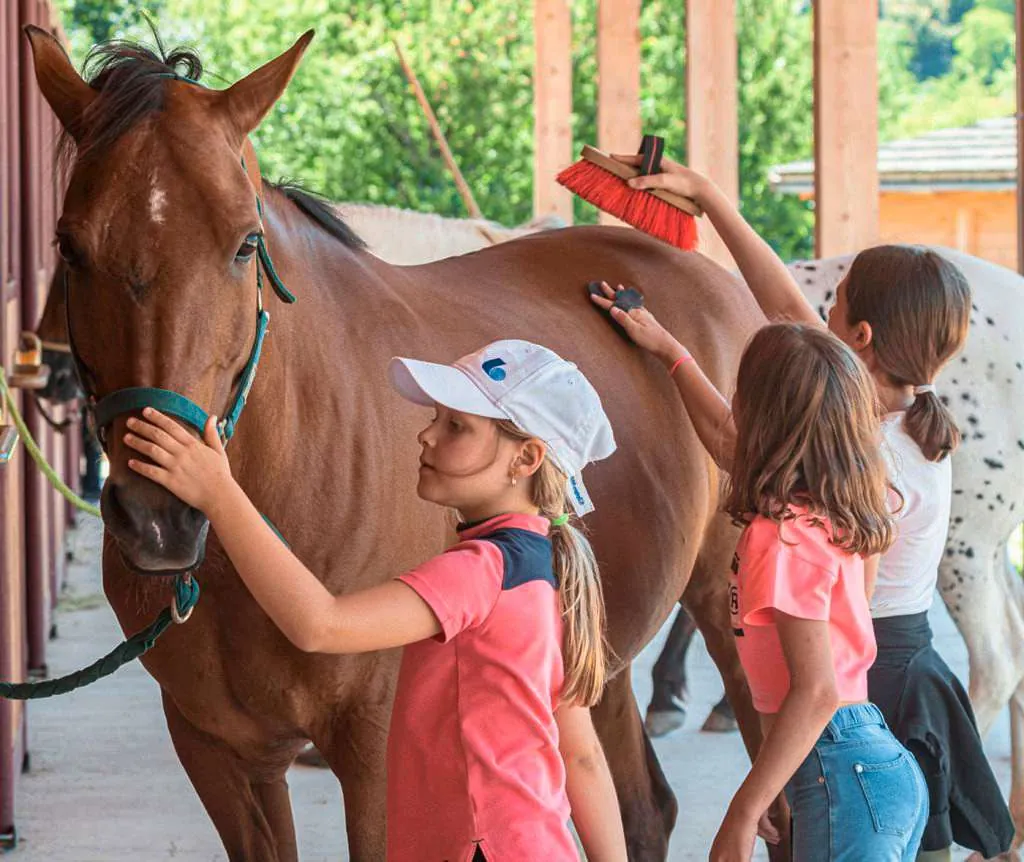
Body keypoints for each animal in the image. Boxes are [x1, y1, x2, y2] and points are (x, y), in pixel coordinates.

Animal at [25, 27, 771, 861]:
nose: (160, 516)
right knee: (642, 809)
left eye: (246, 244)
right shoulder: (221, 755)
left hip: (733, 623)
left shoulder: (378, 750)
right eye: (68, 245)